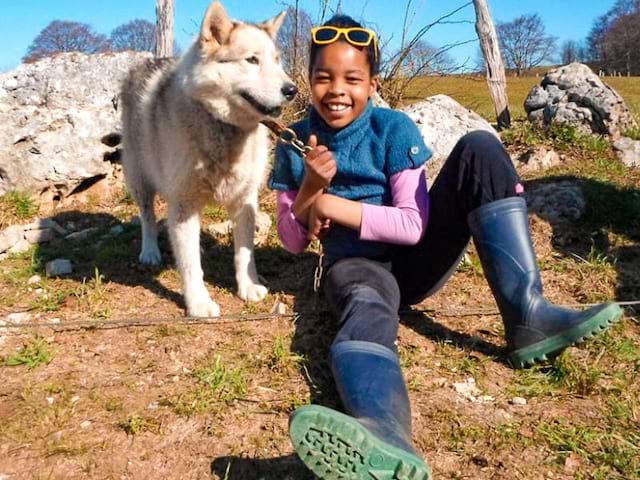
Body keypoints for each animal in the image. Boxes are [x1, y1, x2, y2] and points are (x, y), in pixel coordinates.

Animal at [119, 1, 296, 316]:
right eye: (252, 60)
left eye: (277, 61)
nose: (292, 90)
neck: (222, 127)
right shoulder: (184, 204)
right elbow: (191, 265)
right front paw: (198, 303)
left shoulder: (245, 201)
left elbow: (244, 253)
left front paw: (248, 286)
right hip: (140, 181)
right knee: (147, 218)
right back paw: (150, 251)